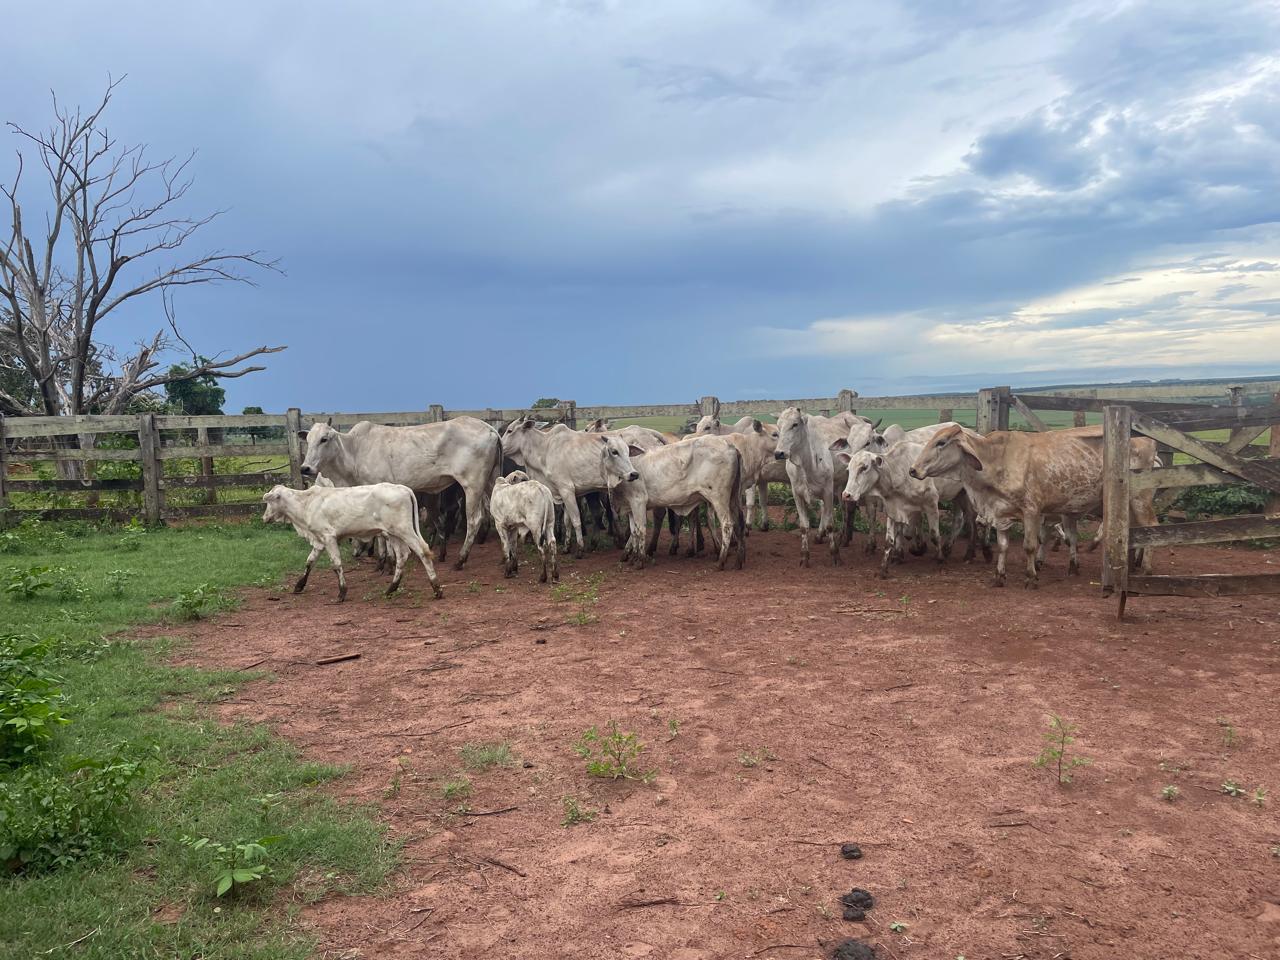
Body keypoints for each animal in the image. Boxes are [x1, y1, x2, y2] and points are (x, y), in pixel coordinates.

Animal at [257, 481, 442, 601]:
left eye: (270, 501)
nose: (264, 518)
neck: (307, 504)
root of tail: (402, 488)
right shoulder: (319, 541)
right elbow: (309, 562)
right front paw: (299, 585)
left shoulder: (329, 537)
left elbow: (336, 564)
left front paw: (342, 592)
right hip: (394, 534)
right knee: (402, 556)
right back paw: (391, 589)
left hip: (405, 530)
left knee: (422, 552)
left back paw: (436, 588)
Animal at [298, 414, 499, 568]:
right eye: (307, 440)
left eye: (324, 439)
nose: (305, 468)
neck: (353, 452)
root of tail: (490, 428)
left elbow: (382, 533)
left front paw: (386, 561)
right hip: (491, 481)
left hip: (472, 485)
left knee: (474, 519)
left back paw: (461, 559)